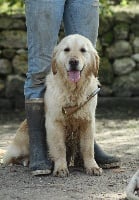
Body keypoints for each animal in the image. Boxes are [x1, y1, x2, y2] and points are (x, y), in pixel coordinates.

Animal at [2, 34, 102, 177]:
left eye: (83, 50)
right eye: (66, 49)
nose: (73, 62)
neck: (73, 90)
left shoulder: (87, 121)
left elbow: (88, 148)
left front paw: (92, 166)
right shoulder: (55, 122)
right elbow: (59, 148)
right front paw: (60, 168)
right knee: (12, 158)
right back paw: (30, 161)